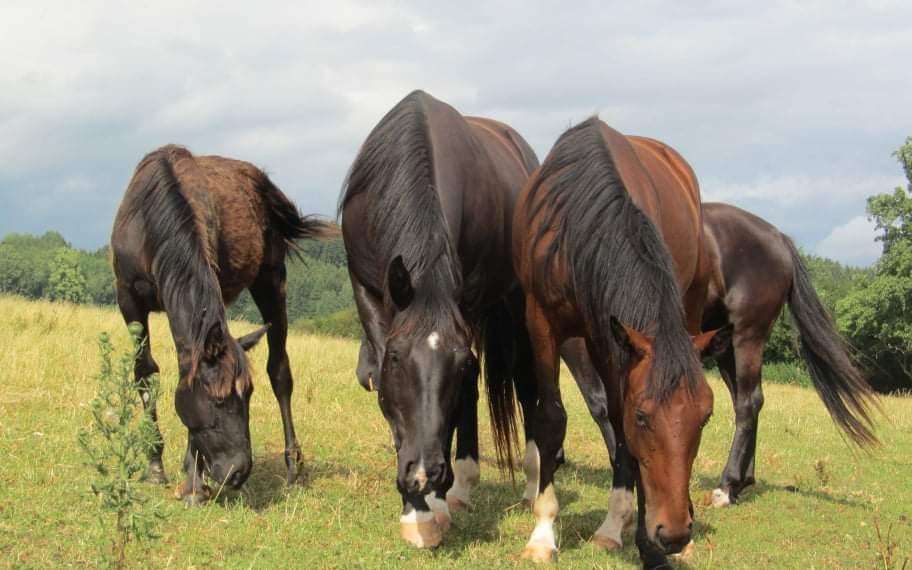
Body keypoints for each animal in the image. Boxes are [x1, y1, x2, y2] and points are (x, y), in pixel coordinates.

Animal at [110, 145, 336, 502]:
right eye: (217, 400)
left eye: (249, 394)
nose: (238, 472)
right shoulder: (129, 299)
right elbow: (145, 372)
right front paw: (155, 466)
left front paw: (193, 481)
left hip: (271, 281)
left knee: (280, 371)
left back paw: (293, 467)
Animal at [336, 91, 536, 548]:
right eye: (395, 359)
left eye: (460, 365)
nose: (425, 472)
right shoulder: (366, 291)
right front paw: (416, 508)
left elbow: (464, 398)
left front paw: (434, 504)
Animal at [502, 117, 732, 564]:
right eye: (642, 416)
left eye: (706, 417)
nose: (673, 533)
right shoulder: (544, 322)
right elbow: (554, 418)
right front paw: (543, 533)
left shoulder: (608, 338)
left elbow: (617, 427)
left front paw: (618, 527)